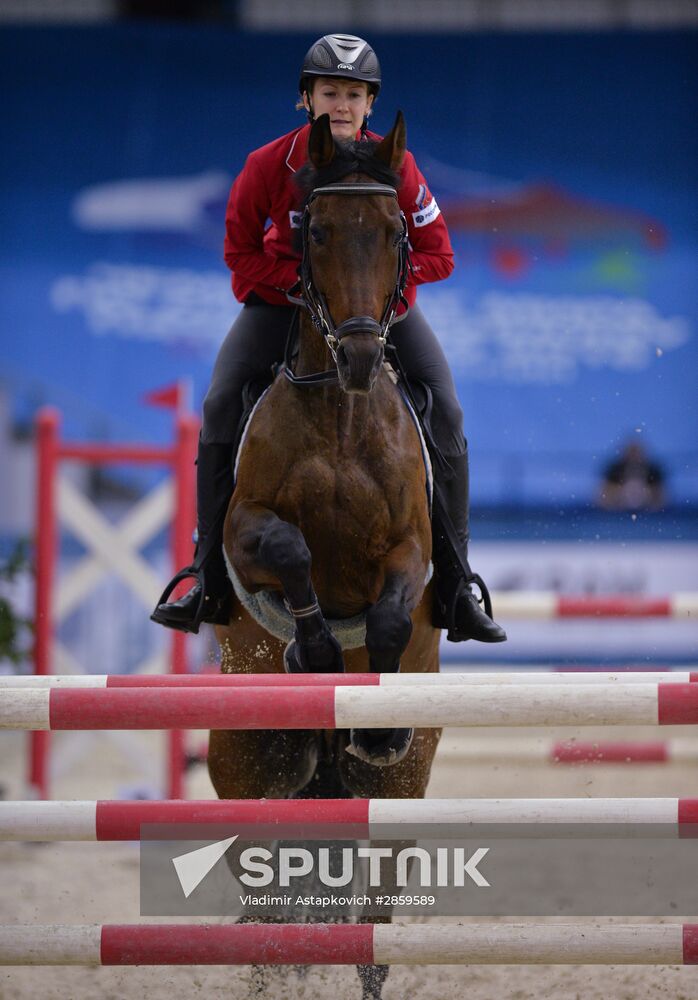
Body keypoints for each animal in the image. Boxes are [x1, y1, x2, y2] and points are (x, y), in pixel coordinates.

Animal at [208, 111, 440, 1000]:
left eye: (396, 231)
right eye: (313, 230)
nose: (361, 357)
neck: (341, 416)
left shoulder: (412, 547)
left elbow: (391, 610)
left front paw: (371, 708)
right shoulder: (244, 530)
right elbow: (287, 546)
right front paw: (311, 649)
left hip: (400, 796)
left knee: (371, 918)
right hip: (246, 762)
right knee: (266, 897)